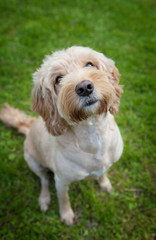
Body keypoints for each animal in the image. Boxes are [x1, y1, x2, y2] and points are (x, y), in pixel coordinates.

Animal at [0, 46, 123, 225]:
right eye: (58, 79)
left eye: (90, 64)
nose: (84, 87)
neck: (92, 133)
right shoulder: (61, 181)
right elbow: (63, 198)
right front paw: (66, 215)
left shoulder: (106, 163)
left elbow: (103, 172)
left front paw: (105, 183)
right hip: (33, 162)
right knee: (44, 180)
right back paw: (44, 199)